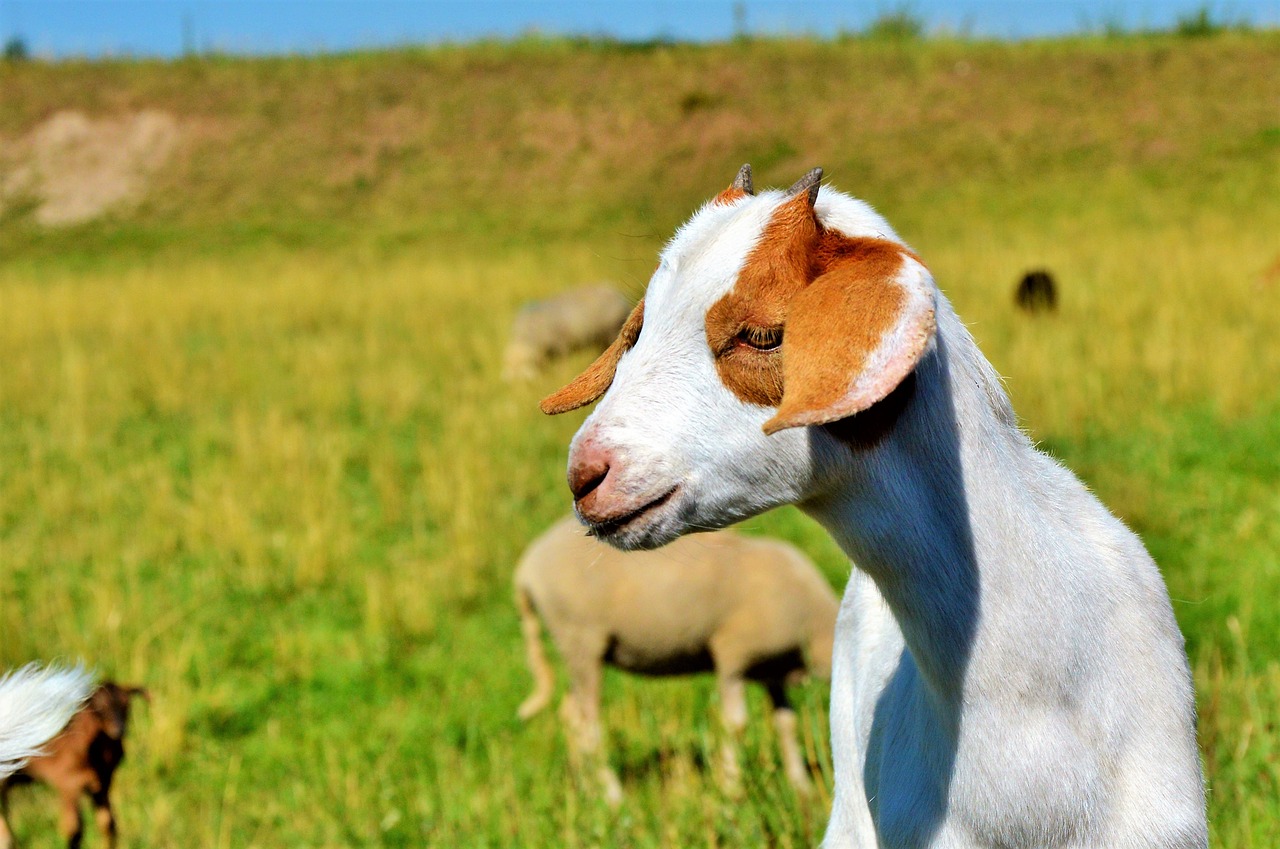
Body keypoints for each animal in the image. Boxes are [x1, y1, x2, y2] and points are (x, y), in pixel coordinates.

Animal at [0, 686, 146, 849]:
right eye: (100, 708)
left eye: (127, 705)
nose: (119, 730)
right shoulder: (69, 783)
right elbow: (74, 830)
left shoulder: (103, 784)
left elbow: (108, 823)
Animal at [514, 512, 834, 804]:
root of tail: (526, 569)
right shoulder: (732, 655)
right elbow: (736, 725)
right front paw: (731, 787)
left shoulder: (772, 671)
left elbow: (786, 723)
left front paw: (800, 785)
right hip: (581, 638)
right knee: (589, 725)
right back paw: (612, 794)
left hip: (575, 651)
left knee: (571, 716)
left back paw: (587, 789)